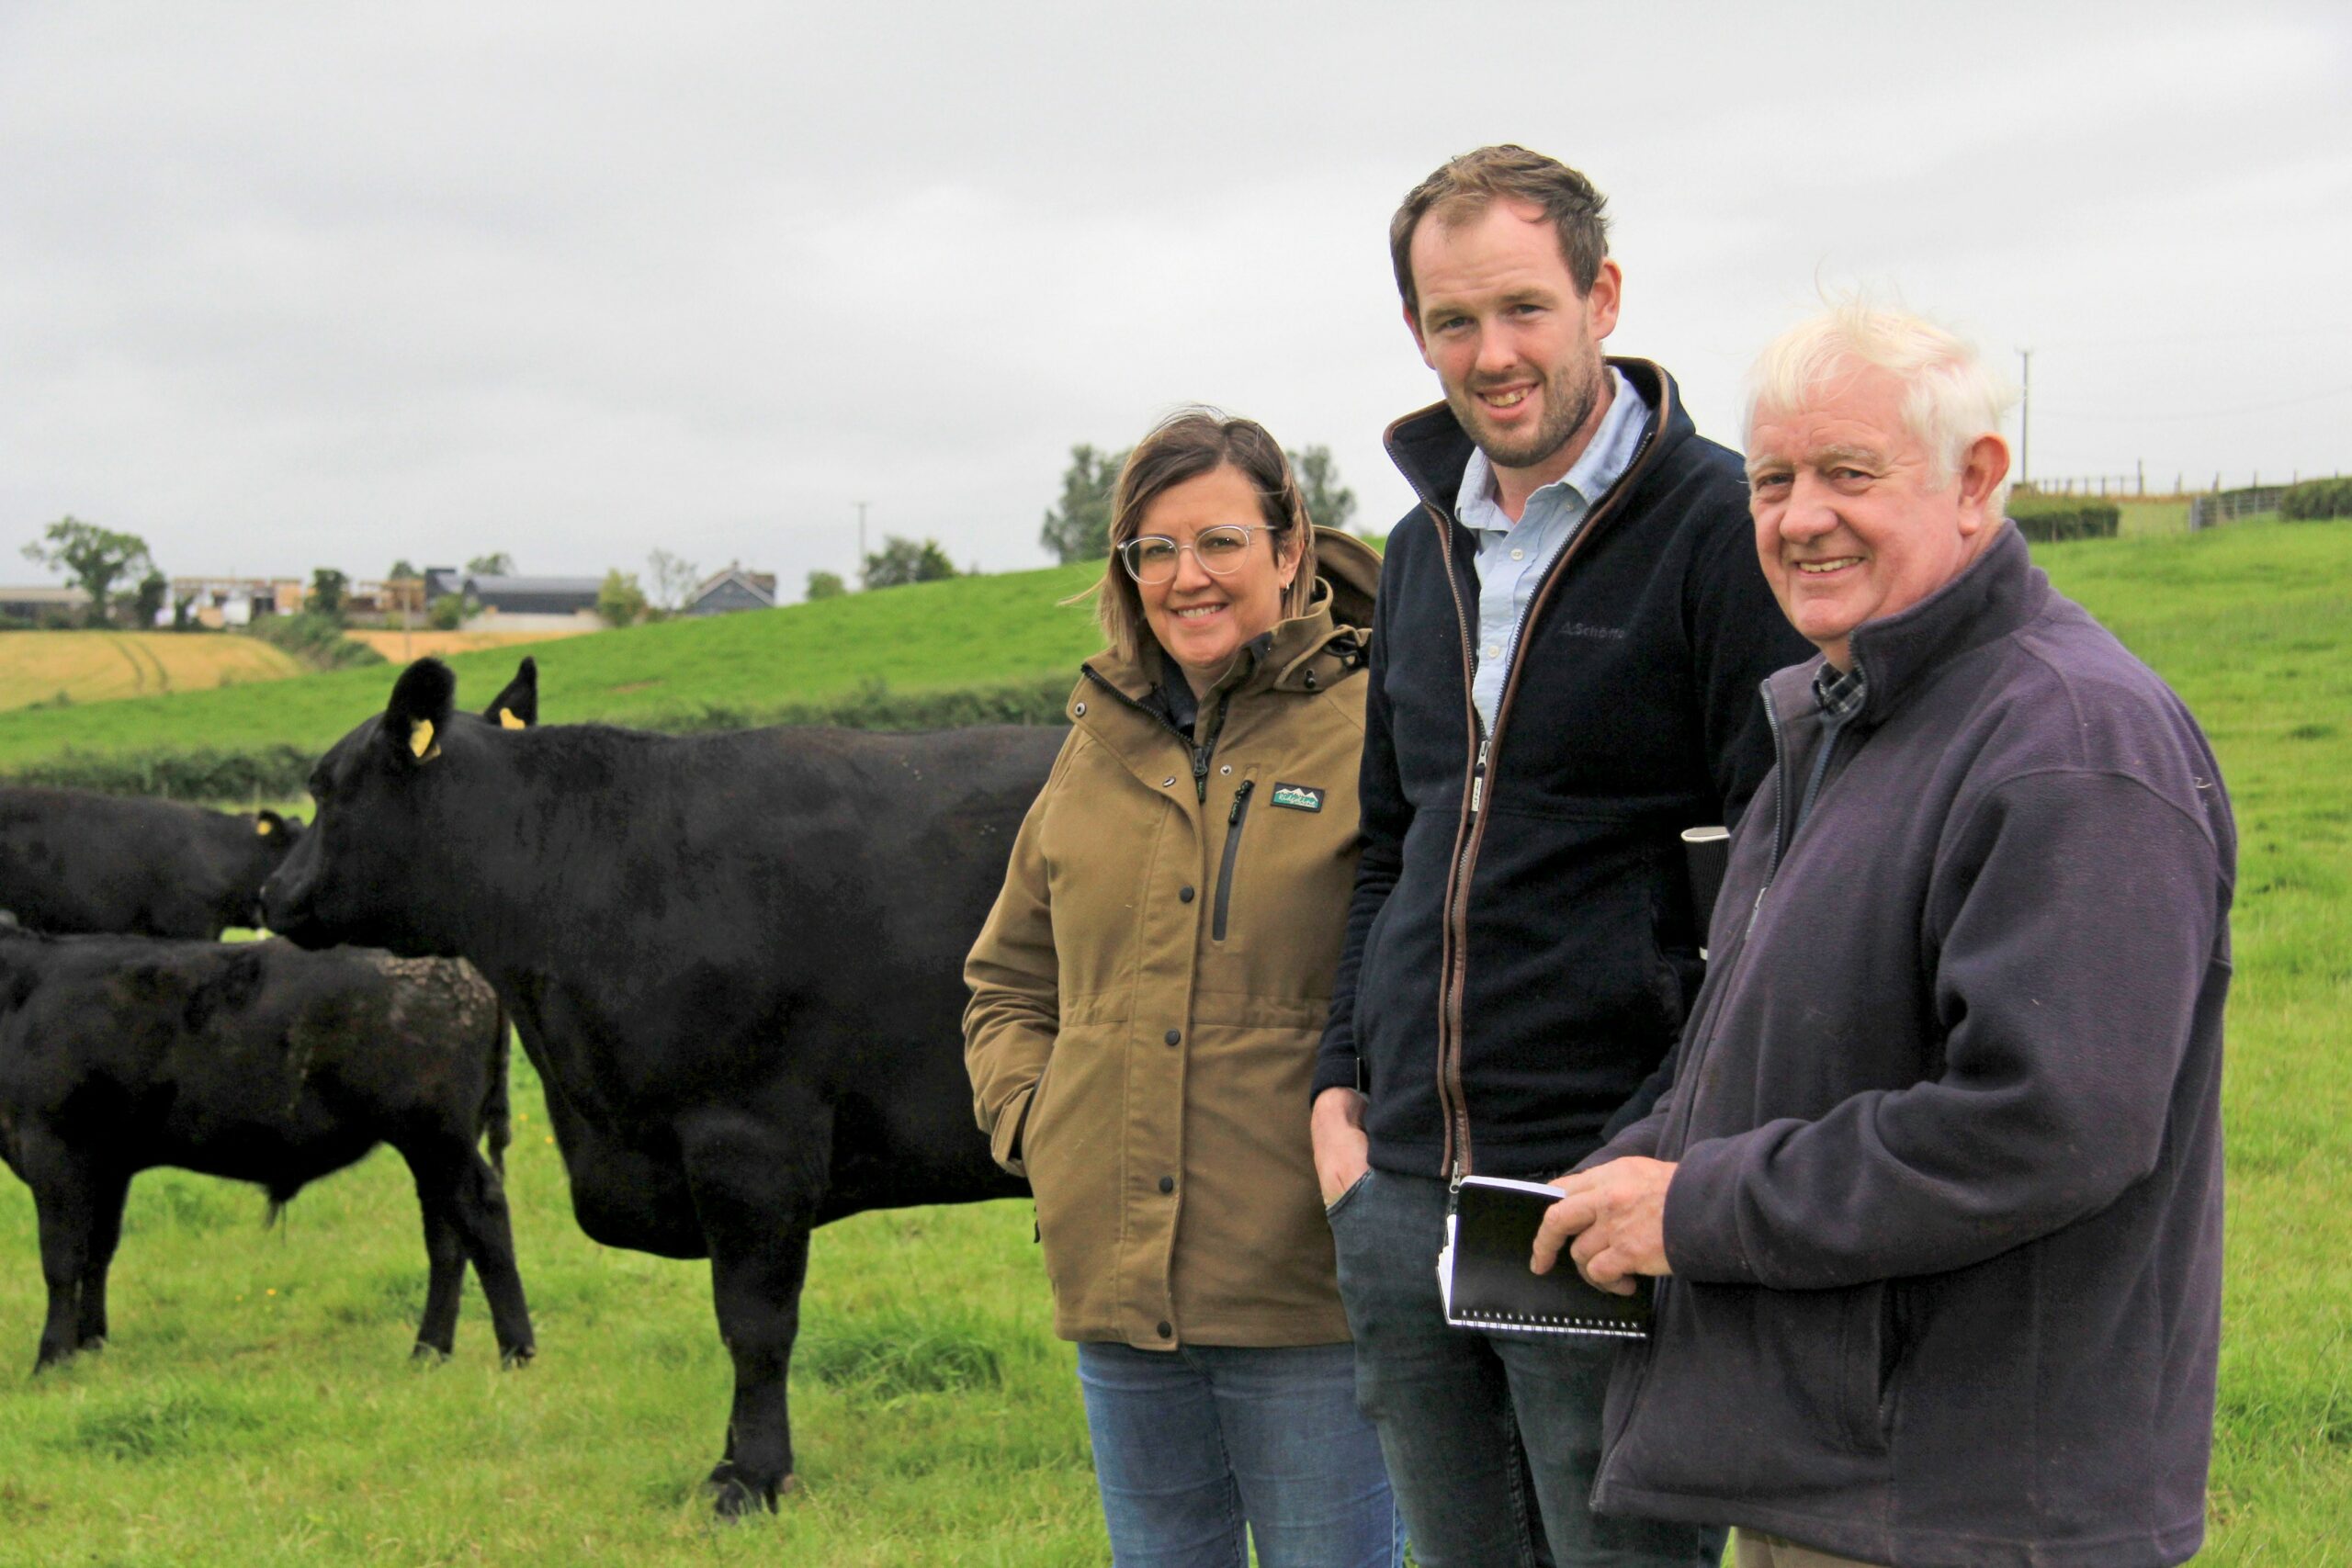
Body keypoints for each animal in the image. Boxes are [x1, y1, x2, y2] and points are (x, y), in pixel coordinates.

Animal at [0, 931, 538, 1372]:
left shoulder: (54, 1147)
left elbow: (61, 1259)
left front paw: (52, 1358)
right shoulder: (108, 1163)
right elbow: (97, 1253)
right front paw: (91, 1345)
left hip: (436, 1135)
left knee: (482, 1213)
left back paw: (515, 1350)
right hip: (435, 1146)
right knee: (447, 1236)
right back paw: (429, 1351)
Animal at [265, 658, 1058, 1514]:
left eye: (324, 788)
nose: (271, 892)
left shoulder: (749, 1139)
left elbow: (753, 1323)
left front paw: (753, 1480)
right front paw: (730, 1460)